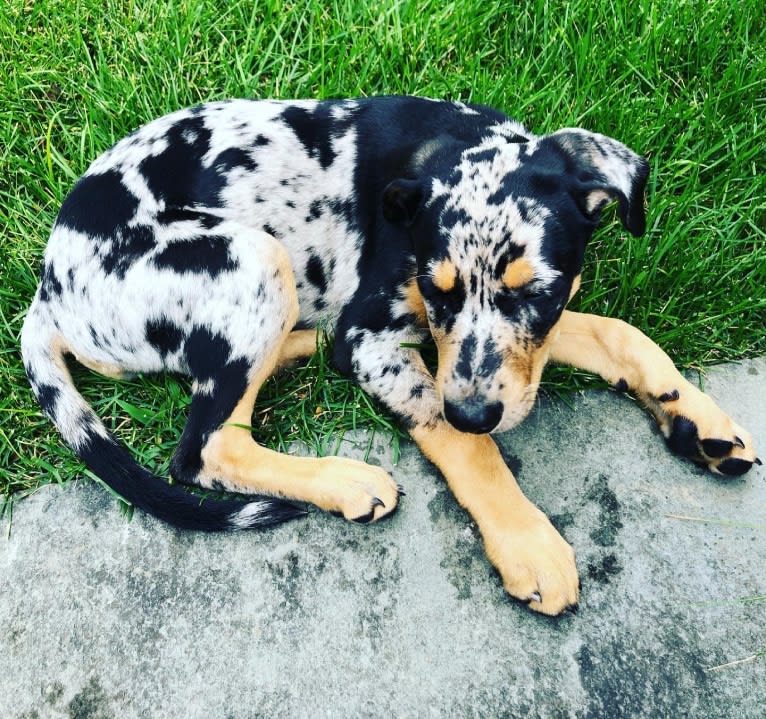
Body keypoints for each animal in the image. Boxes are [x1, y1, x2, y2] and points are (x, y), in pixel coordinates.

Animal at [21, 94, 760, 612]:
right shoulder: (376, 339)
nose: (475, 410)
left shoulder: (520, 335)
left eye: (538, 291)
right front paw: (527, 541)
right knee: (205, 448)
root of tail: (48, 290)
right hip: (255, 257)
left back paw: (302, 346)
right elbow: (466, 445)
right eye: (438, 289)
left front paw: (697, 417)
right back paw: (346, 479)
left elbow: (615, 331)